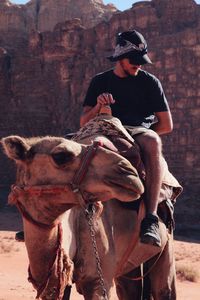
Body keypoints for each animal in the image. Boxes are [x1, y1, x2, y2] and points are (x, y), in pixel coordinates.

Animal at [1, 115, 182, 300]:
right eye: (60, 156)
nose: (129, 172)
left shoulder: (98, 281)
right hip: (128, 265)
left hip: (165, 246)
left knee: (165, 287)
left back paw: (150, 232)